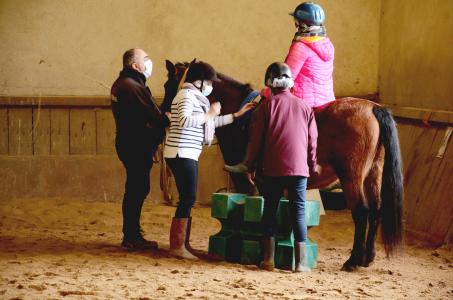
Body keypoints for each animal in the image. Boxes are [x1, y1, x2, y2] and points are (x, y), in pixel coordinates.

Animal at [162, 59, 402, 270]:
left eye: (167, 84)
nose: (165, 114)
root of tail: (373, 107)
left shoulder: (251, 181)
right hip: (373, 174)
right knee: (376, 210)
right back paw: (367, 258)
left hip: (351, 176)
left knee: (361, 212)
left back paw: (353, 261)